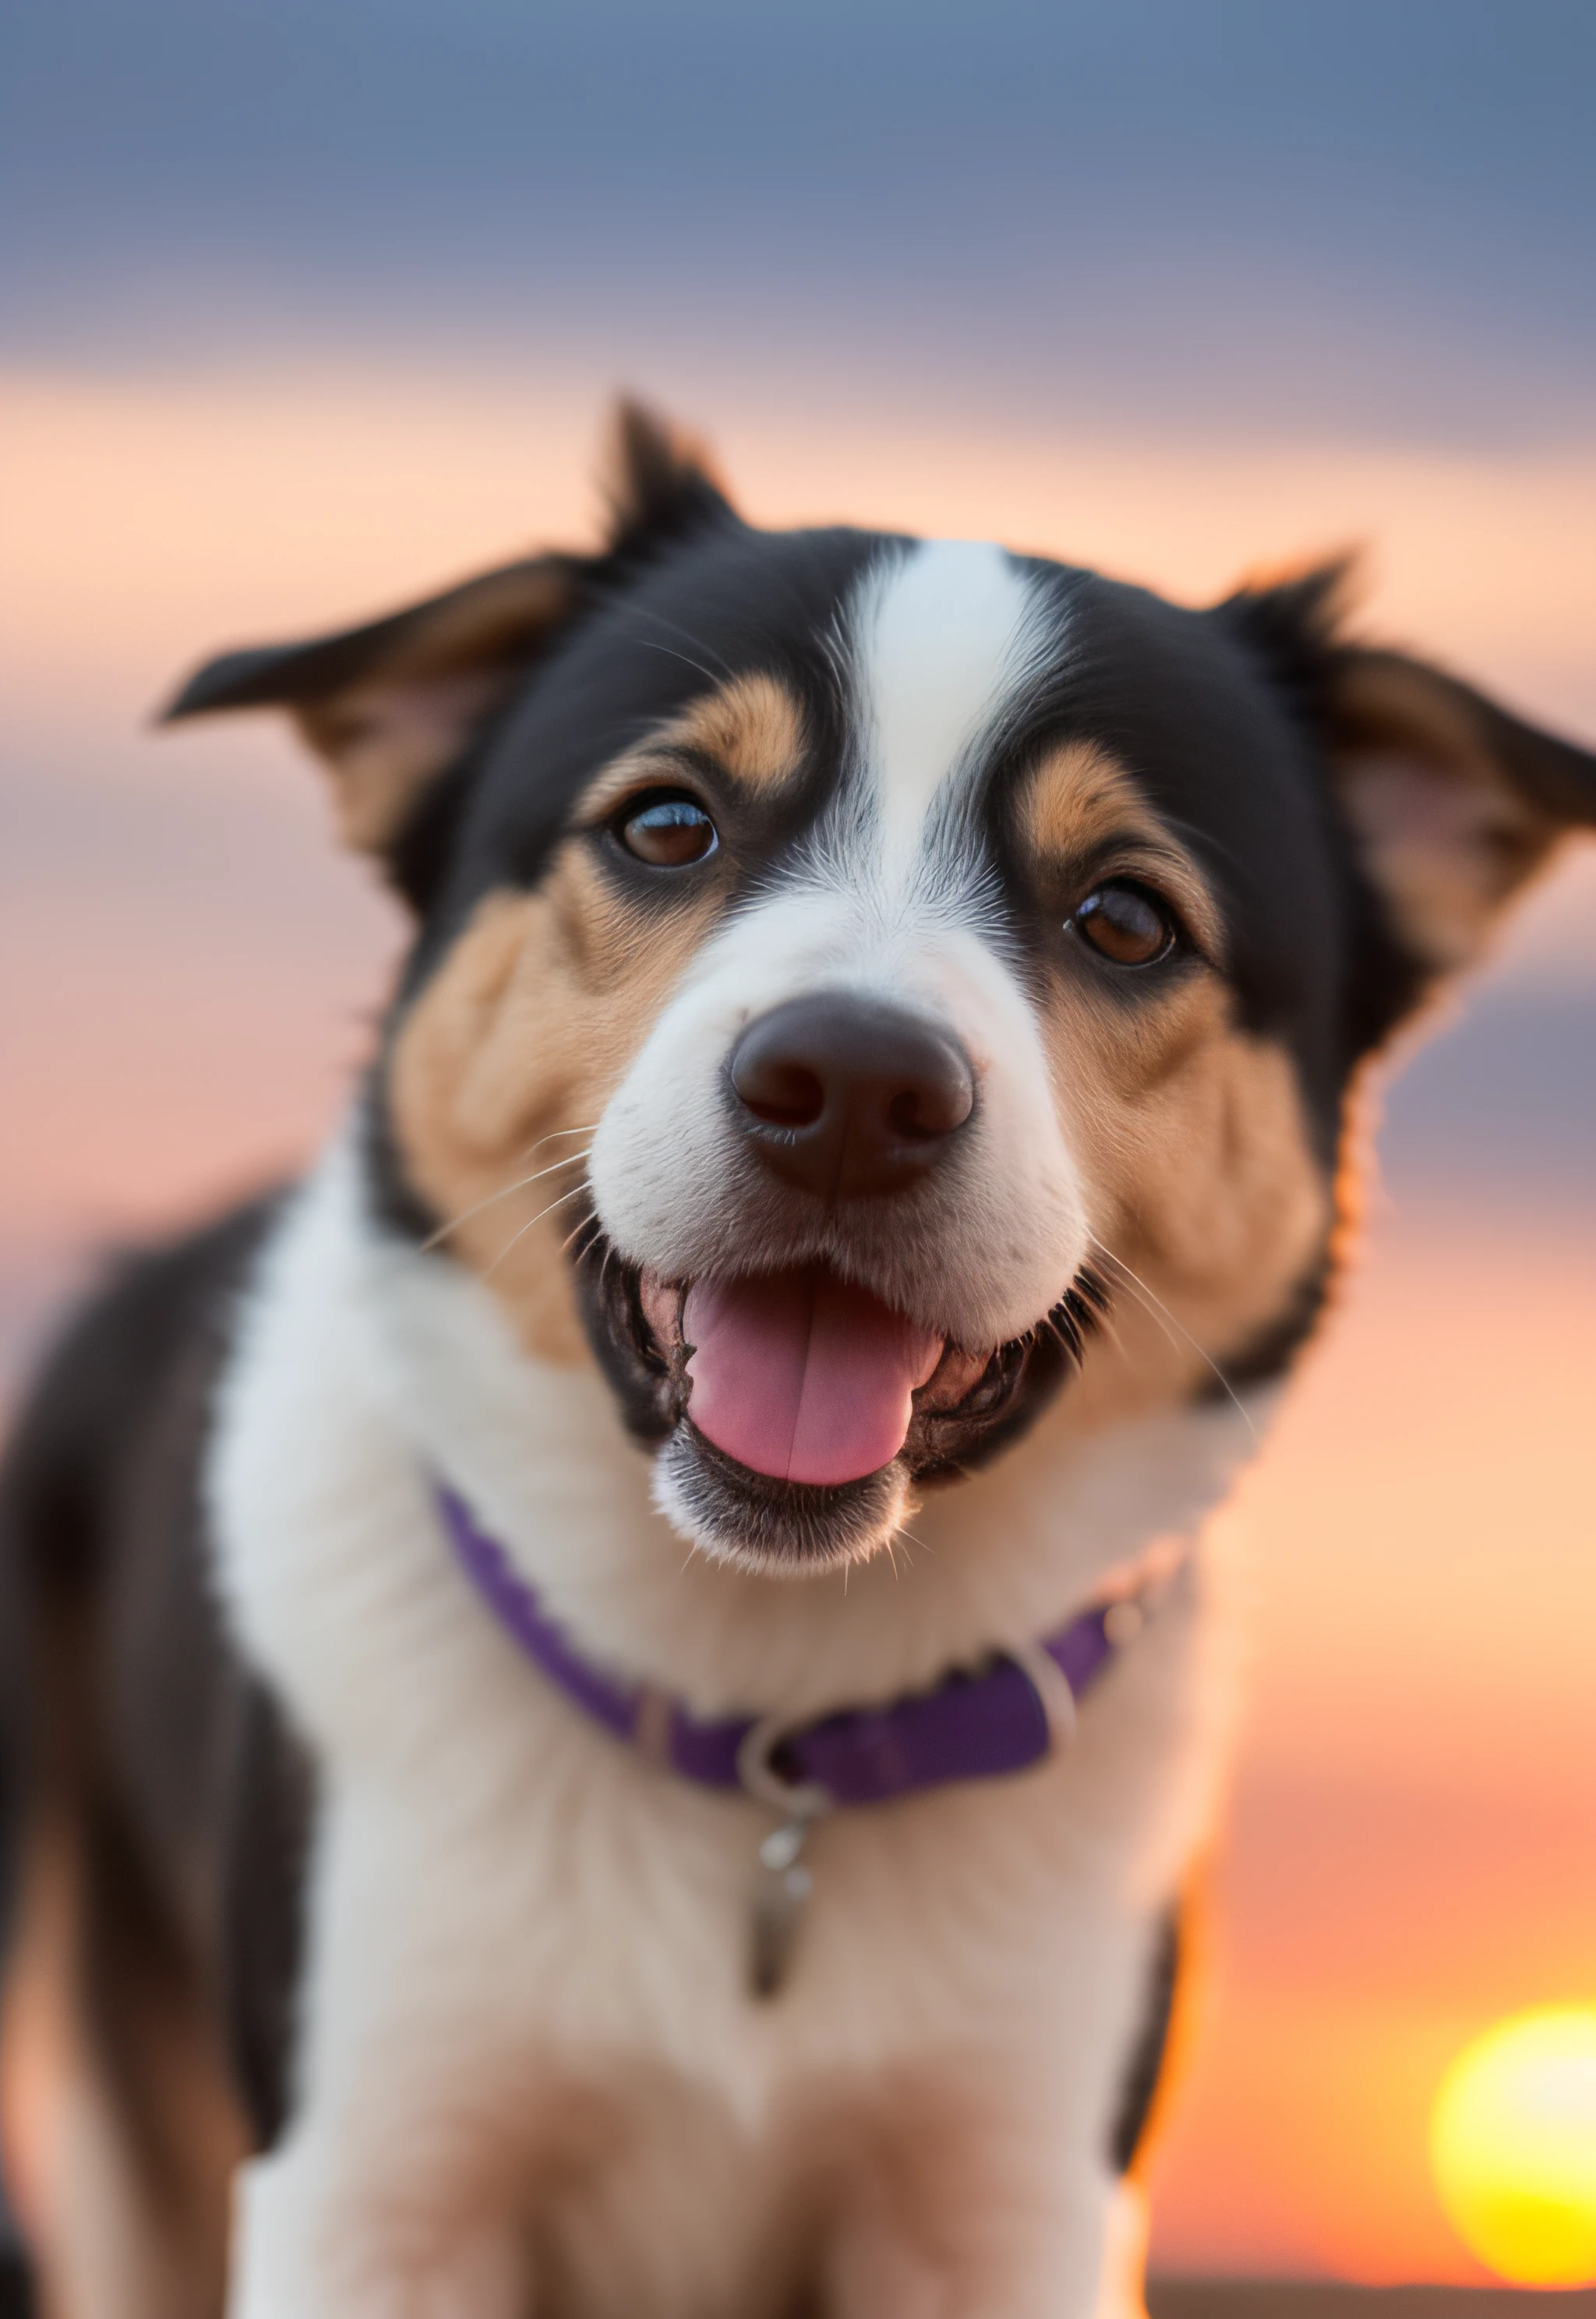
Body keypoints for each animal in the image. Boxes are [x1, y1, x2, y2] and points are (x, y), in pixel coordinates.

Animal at [3, 408, 1596, 2310]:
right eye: (667, 823)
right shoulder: (377, 2181)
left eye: (1127, 918)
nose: (850, 1087)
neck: (771, 1731)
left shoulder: (1007, 2203)